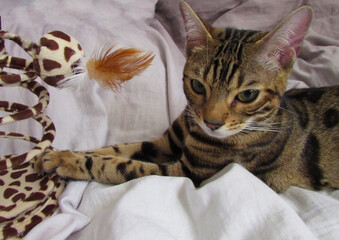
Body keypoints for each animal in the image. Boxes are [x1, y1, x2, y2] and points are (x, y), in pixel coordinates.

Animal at [35, 0, 338, 193]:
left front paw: (68, 162)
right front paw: (65, 153)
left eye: (248, 94)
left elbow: (121, 165)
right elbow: (116, 149)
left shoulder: (189, 173)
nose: (212, 123)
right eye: (198, 85)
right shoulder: (164, 142)